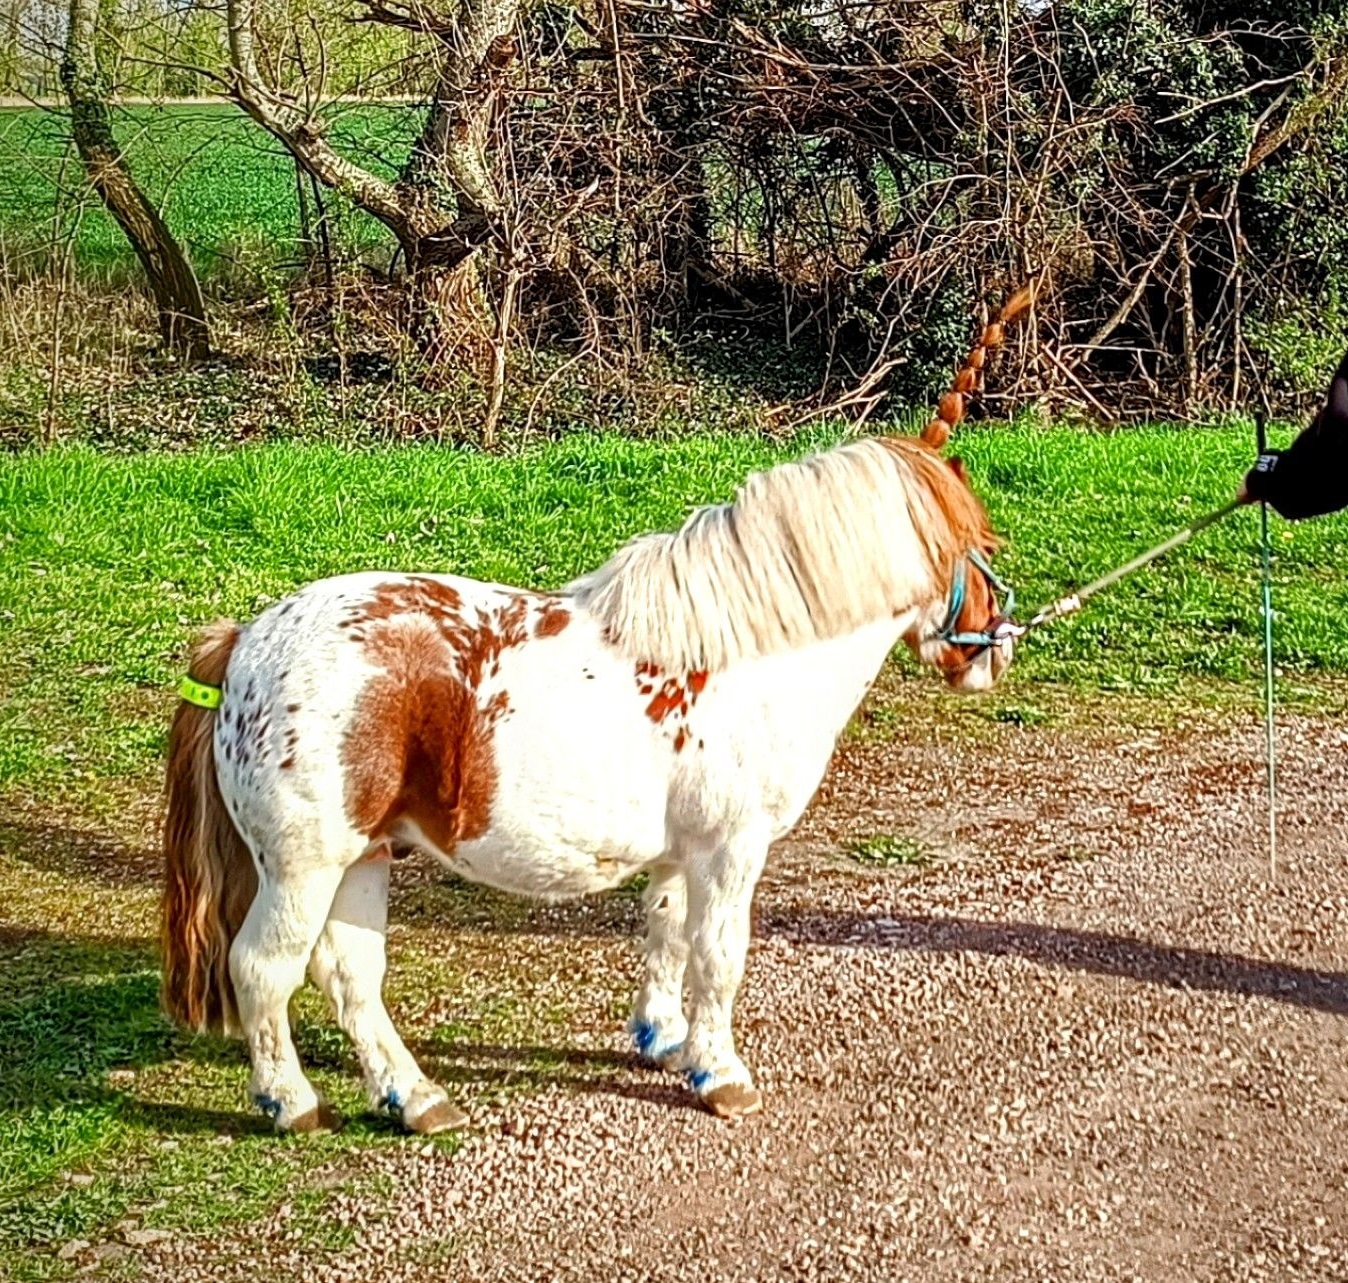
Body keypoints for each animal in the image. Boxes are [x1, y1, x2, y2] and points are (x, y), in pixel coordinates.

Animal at [155, 293, 1019, 1132]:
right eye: (983, 548)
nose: (995, 650)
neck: (747, 651)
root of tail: (244, 644)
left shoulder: (682, 852)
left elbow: (666, 933)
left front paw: (666, 1041)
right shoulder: (731, 848)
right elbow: (719, 956)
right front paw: (723, 1075)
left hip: (364, 854)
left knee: (351, 975)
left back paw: (416, 1096)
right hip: (304, 865)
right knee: (264, 969)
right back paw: (291, 1101)